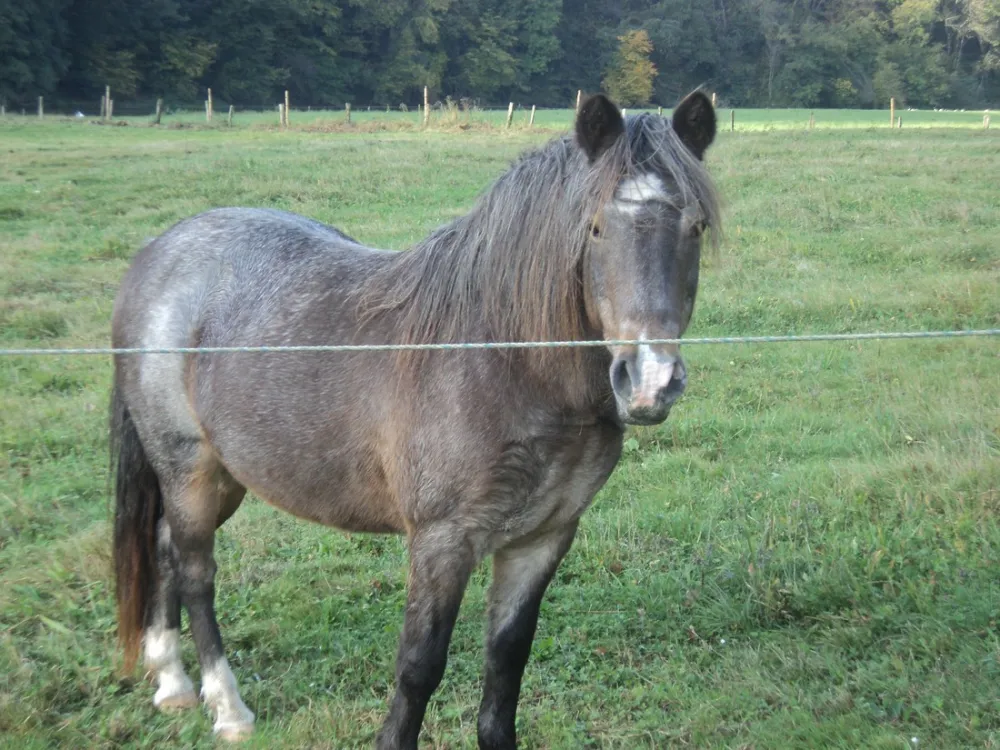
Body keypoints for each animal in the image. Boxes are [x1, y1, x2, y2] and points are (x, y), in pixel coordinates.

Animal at [109, 92, 720, 749]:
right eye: (595, 227)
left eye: (696, 226)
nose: (651, 379)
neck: (503, 363)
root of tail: (158, 251)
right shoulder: (441, 542)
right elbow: (419, 667)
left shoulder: (542, 539)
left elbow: (507, 663)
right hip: (188, 468)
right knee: (197, 571)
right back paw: (227, 707)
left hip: (225, 476)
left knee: (165, 546)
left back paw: (172, 683)